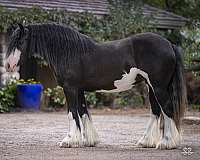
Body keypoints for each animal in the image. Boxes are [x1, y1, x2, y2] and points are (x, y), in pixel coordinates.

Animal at [6, 23, 188, 149]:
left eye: (20, 41)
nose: (8, 65)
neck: (69, 52)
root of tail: (169, 44)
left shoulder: (70, 89)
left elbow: (72, 113)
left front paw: (69, 140)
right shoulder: (79, 90)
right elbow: (83, 112)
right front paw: (89, 140)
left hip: (158, 87)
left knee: (167, 109)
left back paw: (167, 143)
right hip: (151, 86)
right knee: (156, 111)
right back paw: (145, 142)